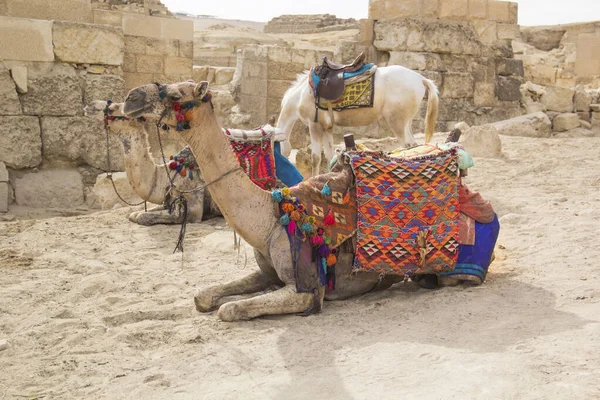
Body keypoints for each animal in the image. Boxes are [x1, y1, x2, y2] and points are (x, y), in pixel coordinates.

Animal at [278, 65, 440, 175]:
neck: (301, 95)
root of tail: (420, 79)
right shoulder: (327, 127)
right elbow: (329, 155)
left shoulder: (315, 126)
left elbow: (316, 158)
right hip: (407, 123)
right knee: (414, 146)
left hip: (397, 122)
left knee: (407, 147)